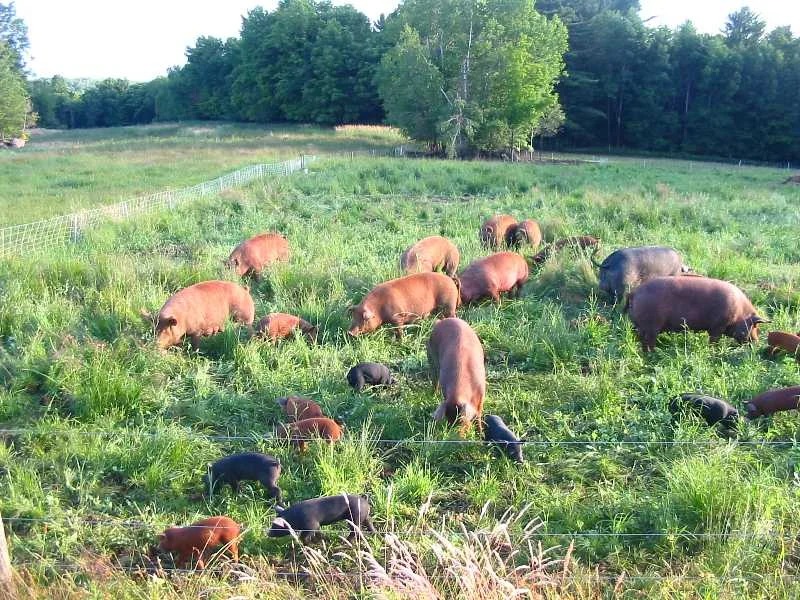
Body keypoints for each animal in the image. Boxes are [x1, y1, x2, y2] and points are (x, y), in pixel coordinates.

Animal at [625, 276, 768, 352]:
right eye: (755, 326)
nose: (757, 343)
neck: (740, 314)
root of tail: (634, 292)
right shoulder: (718, 326)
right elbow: (714, 340)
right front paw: (714, 351)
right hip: (651, 326)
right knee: (648, 341)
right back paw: (653, 353)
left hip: (640, 325)